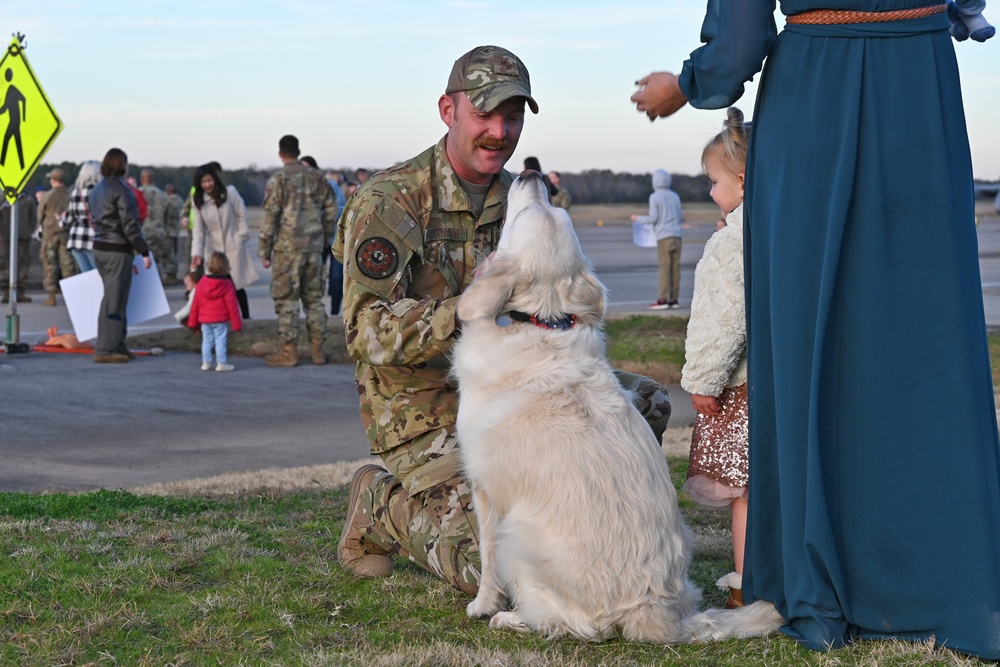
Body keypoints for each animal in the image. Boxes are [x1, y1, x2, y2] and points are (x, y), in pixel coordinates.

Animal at [450, 170, 784, 644]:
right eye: (553, 210)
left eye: (530, 213)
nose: (532, 173)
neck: (541, 322)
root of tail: (654, 611)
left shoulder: (485, 490)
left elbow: (486, 557)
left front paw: (482, 605)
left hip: (519, 534)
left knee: (569, 624)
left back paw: (511, 618)